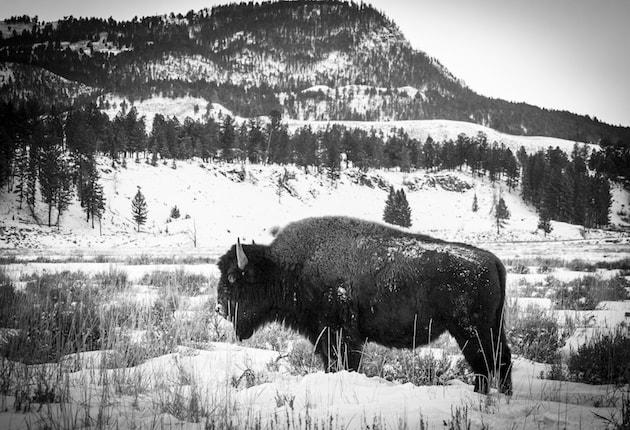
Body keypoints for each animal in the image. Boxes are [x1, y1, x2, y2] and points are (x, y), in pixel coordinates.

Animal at [217, 217, 512, 394]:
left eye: (232, 277)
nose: (219, 307)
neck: (285, 268)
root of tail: (493, 261)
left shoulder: (341, 335)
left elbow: (345, 362)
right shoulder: (326, 337)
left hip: (471, 331)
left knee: (486, 363)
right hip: (490, 328)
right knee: (500, 360)